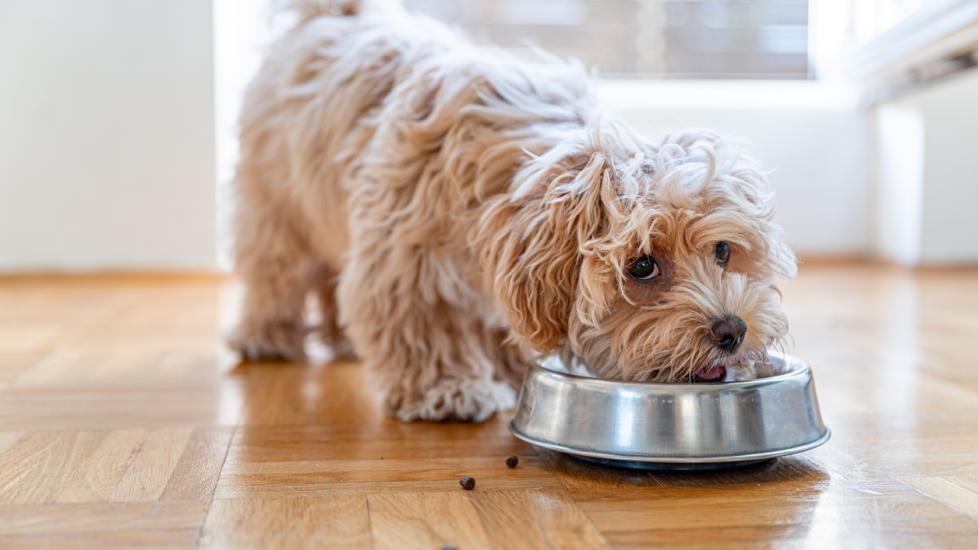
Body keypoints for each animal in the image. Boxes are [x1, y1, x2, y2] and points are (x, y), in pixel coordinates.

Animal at [227, 1, 792, 422]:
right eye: (642, 265)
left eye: (723, 251)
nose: (731, 330)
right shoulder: (405, 256)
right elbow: (421, 319)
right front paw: (448, 388)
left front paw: (507, 365)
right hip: (277, 202)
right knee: (276, 268)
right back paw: (268, 335)